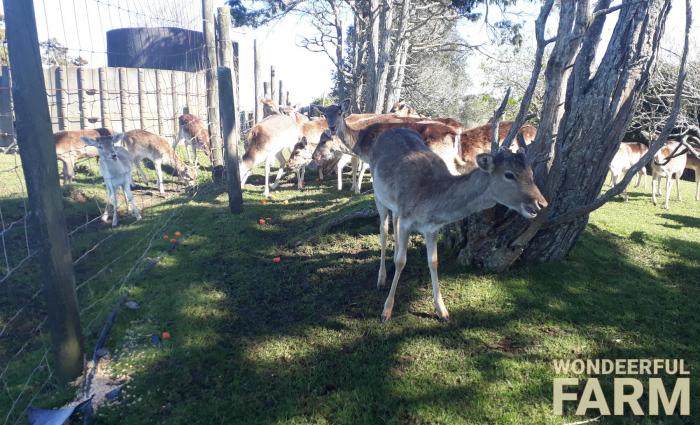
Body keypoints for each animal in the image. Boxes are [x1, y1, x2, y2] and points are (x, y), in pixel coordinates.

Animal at [369, 128, 547, 321]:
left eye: (531, 173)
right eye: (509, 174)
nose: (542, 203)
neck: (428, 199)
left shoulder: (431, 228)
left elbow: (433, 262)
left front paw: (442, 311)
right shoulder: (407, 219)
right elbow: (401, 261)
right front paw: (386, 311)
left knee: (394, 220)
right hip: (378, 193)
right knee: (383, 229)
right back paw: (381, 279)